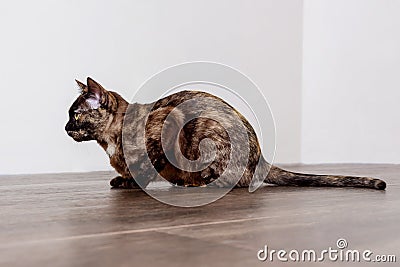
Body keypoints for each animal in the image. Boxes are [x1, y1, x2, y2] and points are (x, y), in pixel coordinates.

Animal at [65, 77, 388, 191]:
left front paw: (130, 182)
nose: (65, 127)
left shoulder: (166, 127)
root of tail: (261, 156)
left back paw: (193, 184)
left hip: (204, 134)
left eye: (75, 114)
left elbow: (146, 167)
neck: (108, 142)